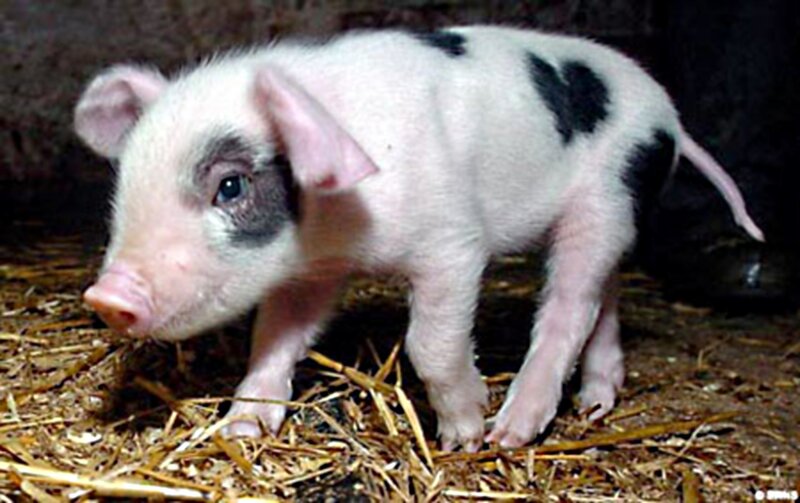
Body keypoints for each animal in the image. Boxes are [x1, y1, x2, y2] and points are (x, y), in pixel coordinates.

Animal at [74, 26, 763, 451]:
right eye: (127, 176)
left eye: (231, 186)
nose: (106, 297)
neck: (342, 225)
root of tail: (671, 119)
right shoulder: (311, 269)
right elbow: (276, 336)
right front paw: (243, 428)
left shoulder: (452, 244)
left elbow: (429, 342)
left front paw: (463, 432)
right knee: (604, 293)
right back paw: (595, 402)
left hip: (606, 199)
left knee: (569, 304)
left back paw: (511, 430)